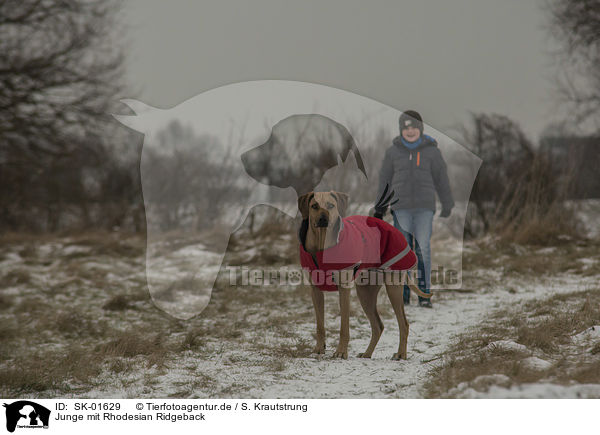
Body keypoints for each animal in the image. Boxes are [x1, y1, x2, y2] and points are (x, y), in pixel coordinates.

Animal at [296, 192, 432, 360]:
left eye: (331, 205)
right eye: (314, 206)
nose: (323, 219)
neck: (322, 244)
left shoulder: (344, 288)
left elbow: (344, 327)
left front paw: (341, 352)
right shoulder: (315, 290)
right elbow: (320, 325)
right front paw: (319, 349)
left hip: (393, 287)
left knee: (403, 324)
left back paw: (401, 354)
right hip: (365, 292)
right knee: (378, 326)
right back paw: (367, 353)